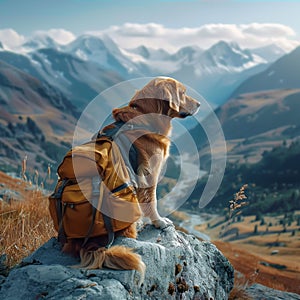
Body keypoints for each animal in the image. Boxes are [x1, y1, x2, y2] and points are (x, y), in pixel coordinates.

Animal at [63, 77, 199, 284]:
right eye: (183, 93)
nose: (199, 104)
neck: (147, 115)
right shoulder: (149, 173)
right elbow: (152, 200)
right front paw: (159, 221)